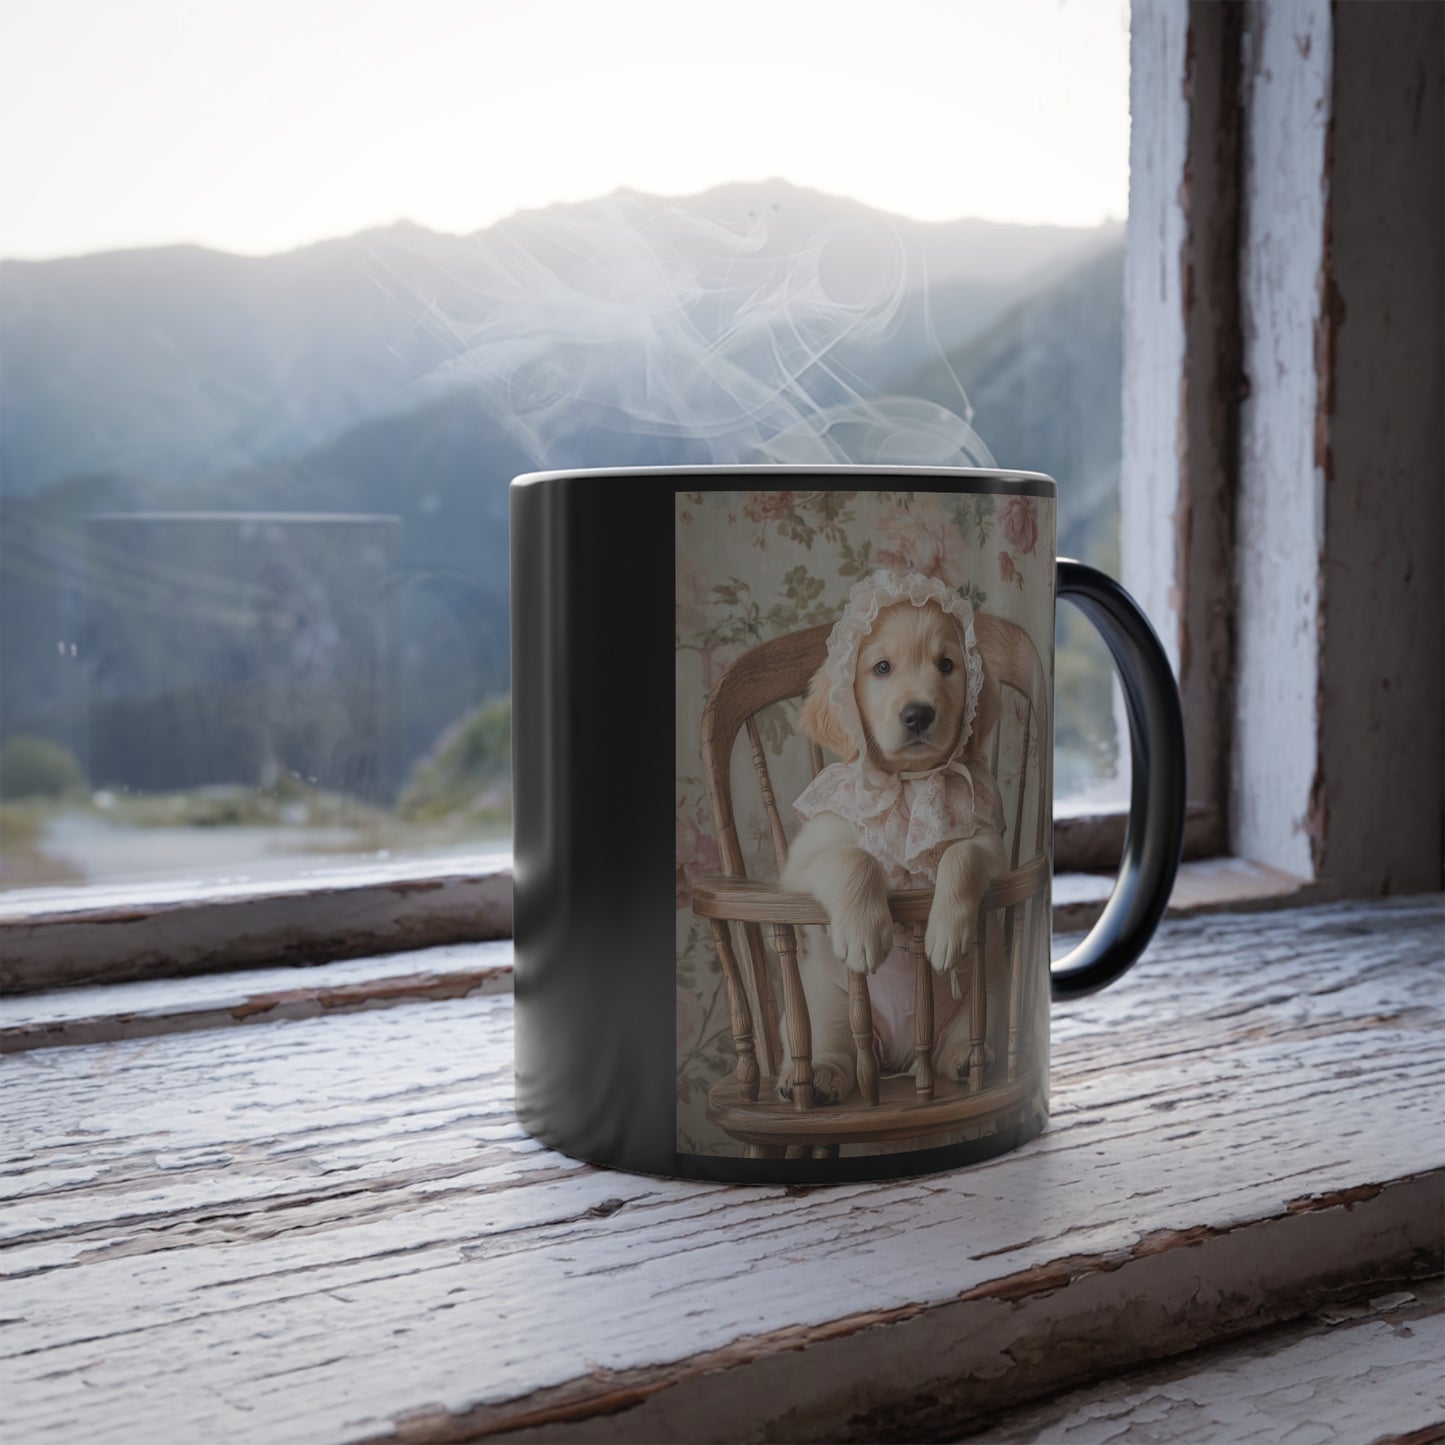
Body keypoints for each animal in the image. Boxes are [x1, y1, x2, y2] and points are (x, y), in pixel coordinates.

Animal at [780, 569, 1005, 1098]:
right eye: (881, 667)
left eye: (947, 665)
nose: (918, 714)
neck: (908, 783)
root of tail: (901, 1056)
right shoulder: (803, 859)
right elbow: (854, 858)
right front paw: (866, 931)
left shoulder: (989, 840)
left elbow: (962, 858)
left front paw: (946, 931)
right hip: (823, 1002)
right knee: (831, 1048)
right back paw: (819, 1078)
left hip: (989, 994)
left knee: (962, 1041)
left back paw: (965, 1058)